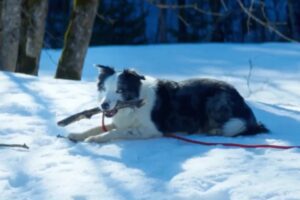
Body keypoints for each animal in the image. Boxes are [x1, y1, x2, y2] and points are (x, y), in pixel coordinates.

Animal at [68, 65, 270, 143]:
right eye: (103, 88)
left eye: (120, 91)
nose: (103, 106)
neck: (135, 104)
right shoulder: (121, 121)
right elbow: (97, 127)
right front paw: (76, 135)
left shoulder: (151, 130)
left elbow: (116, 132)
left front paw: (95, 139)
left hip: (216, 99)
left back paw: (213, 131)